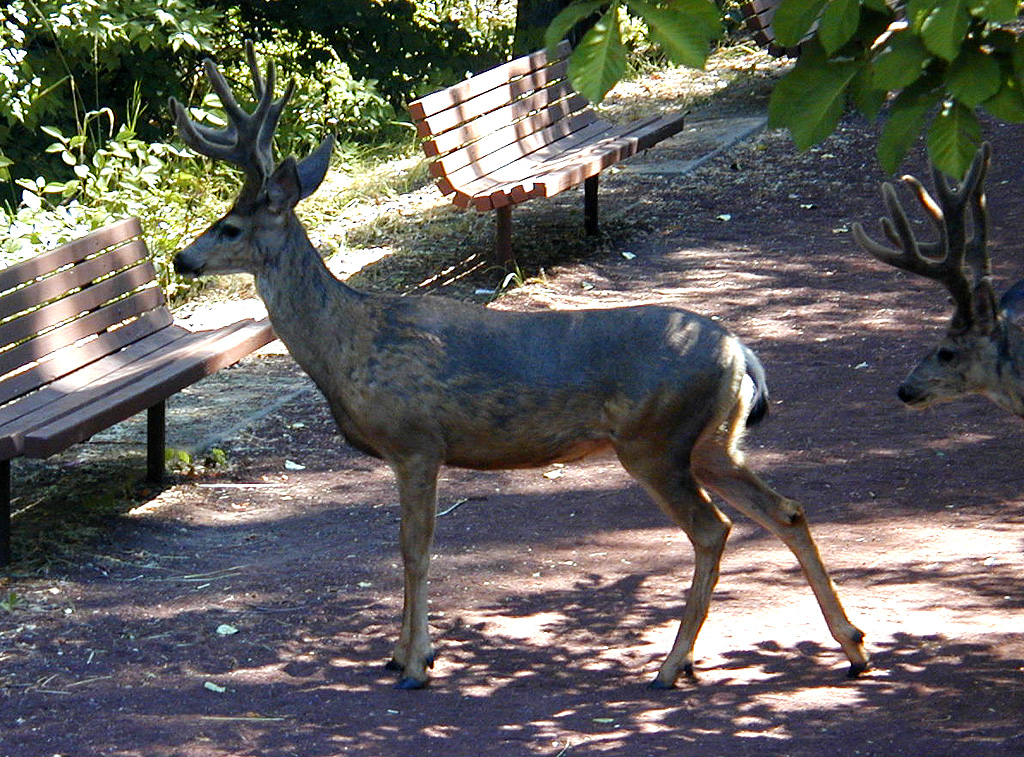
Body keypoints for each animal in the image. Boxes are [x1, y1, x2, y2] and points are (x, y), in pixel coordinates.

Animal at [169, 43, 869, 689]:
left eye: (229, 227)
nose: (182, 260)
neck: (347, 344)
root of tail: (740, 352)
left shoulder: (417, 442)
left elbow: (414, 550)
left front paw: (415, 663)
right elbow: (406, 549)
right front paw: (402, 652)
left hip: (656, 439)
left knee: (712, 530)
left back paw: (672, 665)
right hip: (712, 441)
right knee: (785, 510)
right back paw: (852, 645)